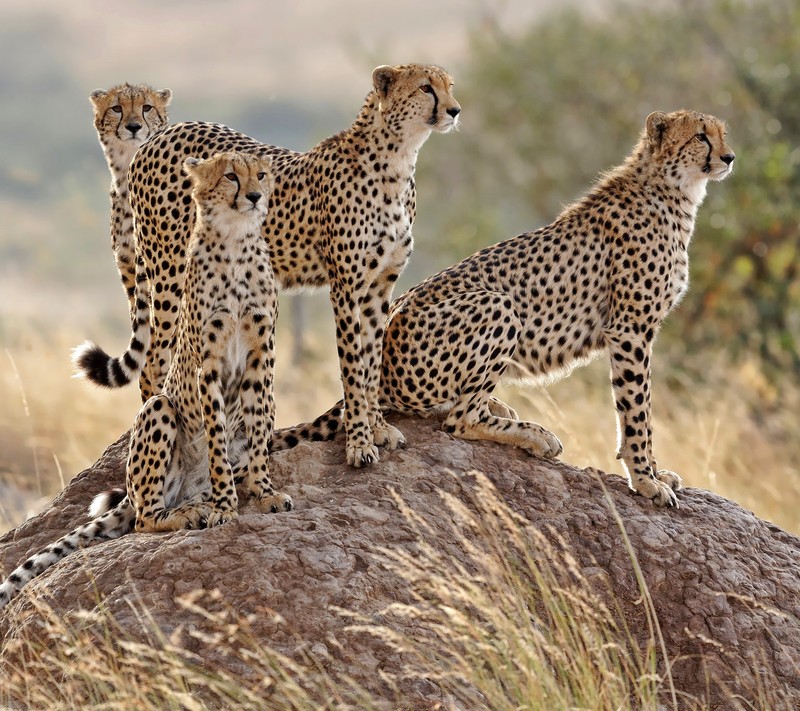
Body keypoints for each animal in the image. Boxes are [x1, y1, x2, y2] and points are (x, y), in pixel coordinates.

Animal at [1, 154, 290, 612]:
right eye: (231, 175)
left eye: (260, 174)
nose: (256, 195)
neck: (234, 241)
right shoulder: (206, 363)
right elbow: (216, 436)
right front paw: (227, 507)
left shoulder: (262, 355)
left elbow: (258, 429)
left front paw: (263, 491)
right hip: (160, 411)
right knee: (143, 519)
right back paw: (191, 511)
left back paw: (205, 501)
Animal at [276, 111, 736, 508]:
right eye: (701, 136)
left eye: (722, 133)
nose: (730, 157)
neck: (673, 190)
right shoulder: (629, 330)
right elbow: (638, 411)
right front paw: (646, 481)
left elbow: (638, 408)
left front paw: (654, 472)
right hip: (498, 305)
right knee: (458, 420)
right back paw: (534, 434)